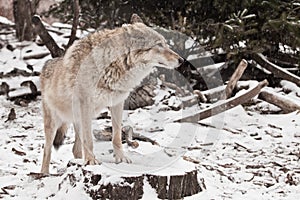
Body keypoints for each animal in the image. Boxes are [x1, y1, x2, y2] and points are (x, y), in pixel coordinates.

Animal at [39, 14, 183, 173]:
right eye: (159, 45)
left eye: (165, 44)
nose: (181, 60)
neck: (112, 65)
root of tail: (46, 65)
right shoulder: (85, 105)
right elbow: (89, 140)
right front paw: (91, 161)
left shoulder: (117, 103)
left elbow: (117, 137)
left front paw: (121, 158)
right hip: (55, 123)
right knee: (47, 151)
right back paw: (44, 174)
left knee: (75, 149)